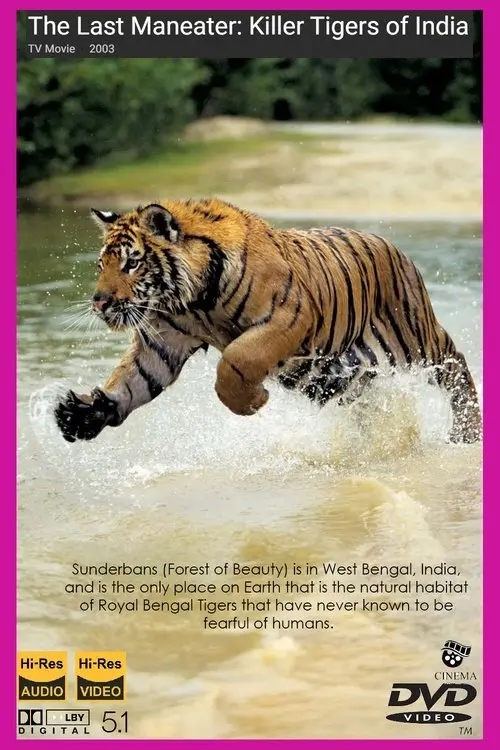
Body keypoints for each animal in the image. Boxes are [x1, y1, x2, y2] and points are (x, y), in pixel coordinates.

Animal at [54, 198, 482, 445]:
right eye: (101, 265)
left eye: (132, 263)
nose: (99, 302)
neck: (193, 301)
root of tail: (395, 247)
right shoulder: (163, 342)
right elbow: (133, 380)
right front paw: (81, 415)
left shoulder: (287, 317)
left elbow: (236, 361)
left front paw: (252, 402)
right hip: (337, 376)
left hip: (413, 338)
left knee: (456, 364)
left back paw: (467, 432)